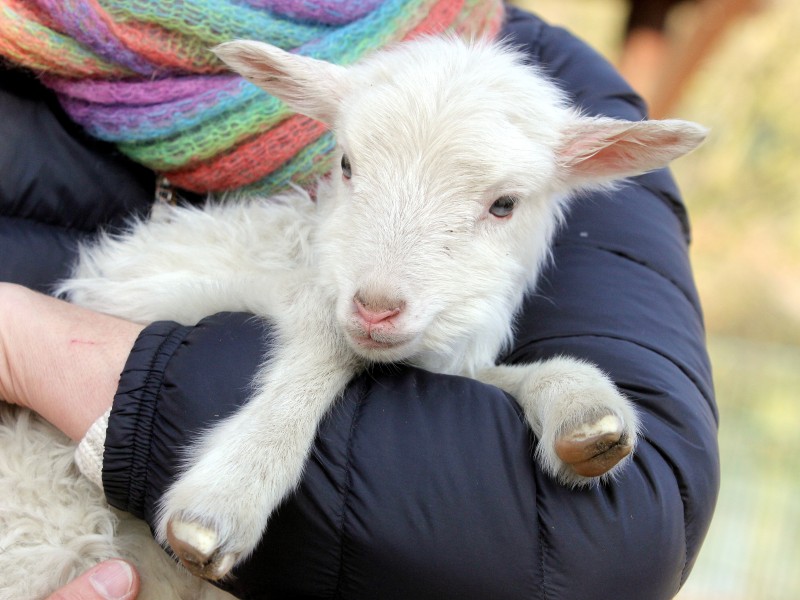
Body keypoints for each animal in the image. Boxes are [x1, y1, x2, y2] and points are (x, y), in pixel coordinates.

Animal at [57, 36, 708, 580]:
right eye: (347, 165)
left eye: (504, 205)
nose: (376, 307)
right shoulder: (158, 281)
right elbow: (325, 345)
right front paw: (227, 497)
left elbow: (494, 379)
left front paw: (583, 412)